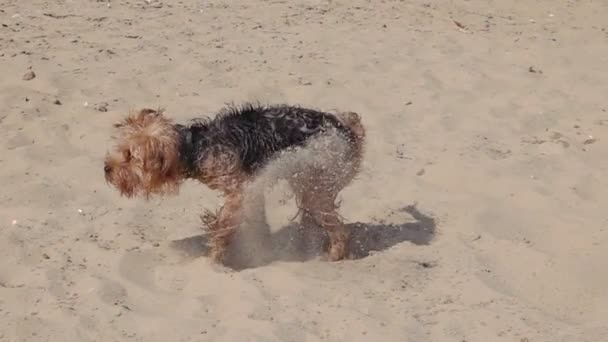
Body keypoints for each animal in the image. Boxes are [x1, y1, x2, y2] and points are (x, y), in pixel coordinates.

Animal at [103, 103, 366, 262]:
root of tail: (348, 129)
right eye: (122, 150)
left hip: (319, 184)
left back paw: (334, 254)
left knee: (338, 230)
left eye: (129, 156)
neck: (195, 145)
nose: (107, 169)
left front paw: (216, 255)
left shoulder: (239, 190)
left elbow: (223, 225)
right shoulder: (252, 190)